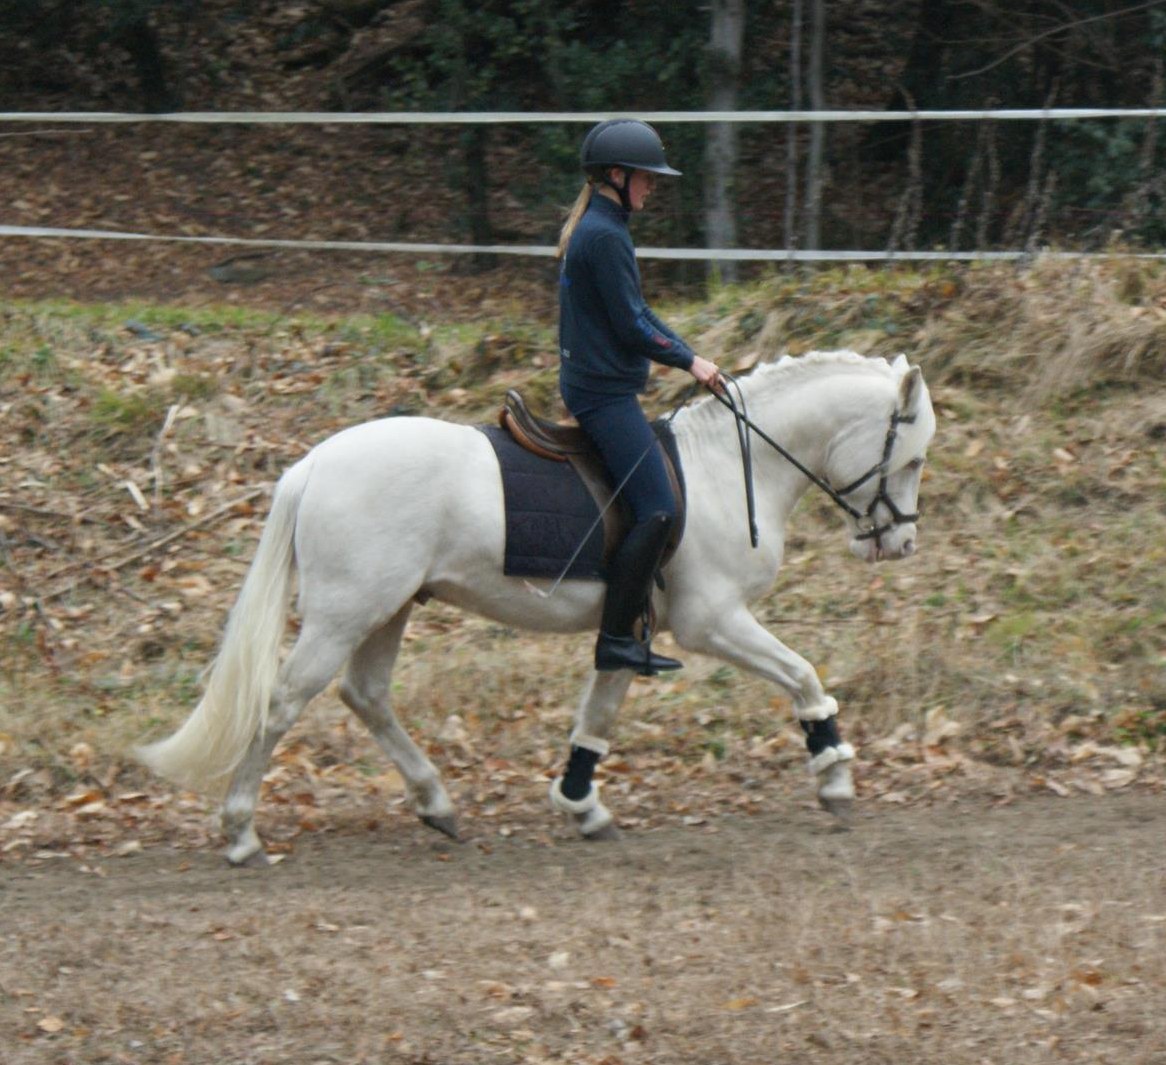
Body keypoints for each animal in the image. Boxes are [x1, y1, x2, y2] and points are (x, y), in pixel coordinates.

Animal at [138, 349, 936, 866]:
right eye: (915, 457)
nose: (899, 542)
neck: (725, 467)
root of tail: (313, 464)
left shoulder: (630, 629)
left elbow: (598, 714)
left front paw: (583, 806)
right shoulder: (713, 621)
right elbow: (802, 675)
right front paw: (834, 774)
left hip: (387, 607)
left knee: (365, 694)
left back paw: (436, 803)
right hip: (345, 614)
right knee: (282, 702)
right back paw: (242, 832)